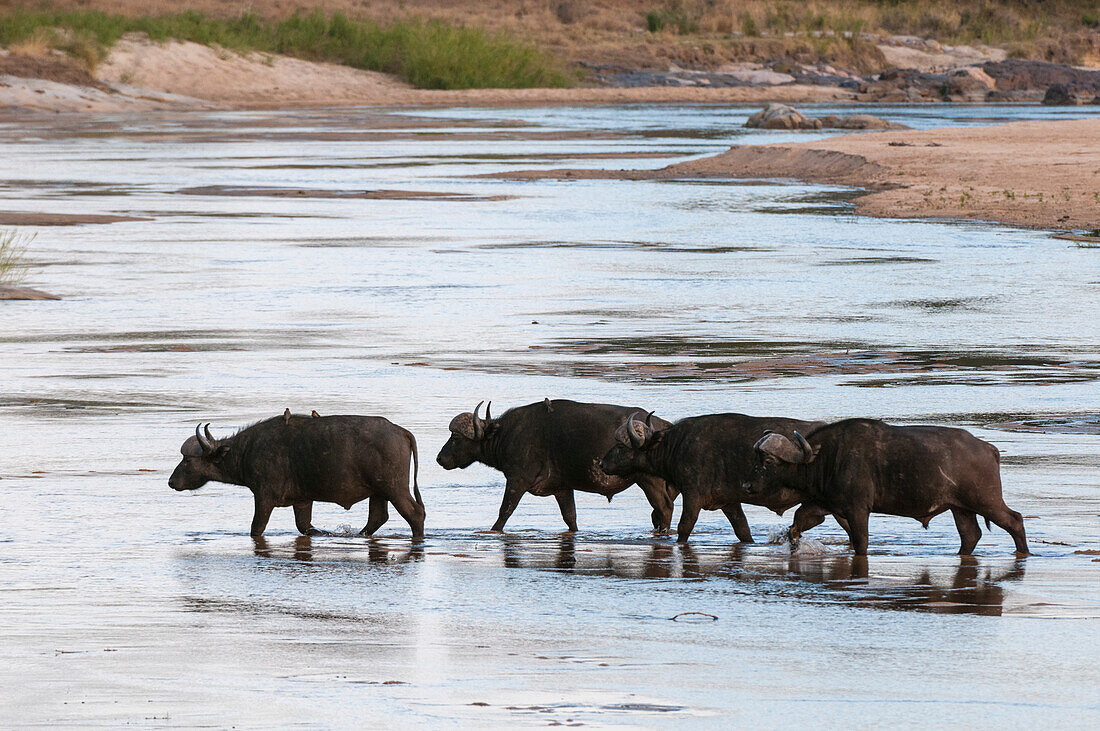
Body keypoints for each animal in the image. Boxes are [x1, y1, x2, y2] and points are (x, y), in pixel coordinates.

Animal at [167, 413, 424, 538]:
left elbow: (256, 528)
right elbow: (305, 526)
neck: (246, 450)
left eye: (187, 460)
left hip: (394, 488)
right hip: (378, 492)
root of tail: (401, 431)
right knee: (378, 517)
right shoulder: (302, 500)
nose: (171, 481)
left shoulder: (264, 497)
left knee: (415, 513)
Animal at [433, 400, 673, 529]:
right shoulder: (562, 488)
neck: (507, 434)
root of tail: (663, 426)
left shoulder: (517, 480)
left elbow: (505, 512)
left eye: (455, 437)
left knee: (664, 508)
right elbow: (570, 518)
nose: (440, 458)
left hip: (649, 480)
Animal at [598, 411, 827, 540]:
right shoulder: (729, 502)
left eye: (621, 446)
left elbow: (685, 526)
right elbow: (743, 530)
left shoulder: (693, 495)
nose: (601, 463)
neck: (677, 445)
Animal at [743, 419, 1025, 556]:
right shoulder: (822, 504)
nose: (746, 485)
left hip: (986, 501)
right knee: (971, 535)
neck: (827, 458)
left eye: (768, 461)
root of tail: (987, 448)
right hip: (961, 508)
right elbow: (797, 524)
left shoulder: (858, 509)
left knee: (1015, 520)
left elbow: (861, 541)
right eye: (755, 458)